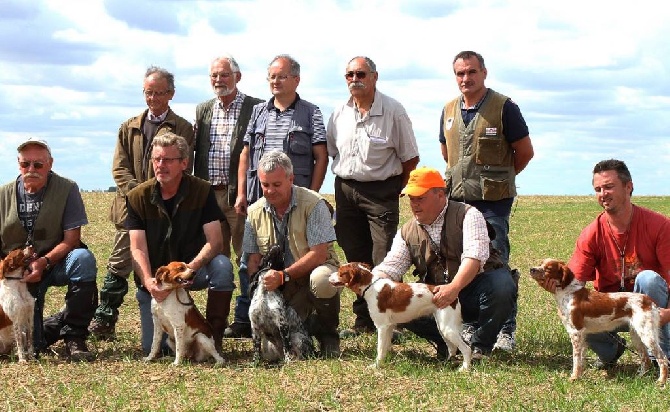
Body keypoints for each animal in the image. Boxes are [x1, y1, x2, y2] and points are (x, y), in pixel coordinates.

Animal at [332, 262, 472, 368]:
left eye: (340, 273)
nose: (330, 275)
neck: (371, 286)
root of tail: (454, 297)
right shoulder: (389, 326)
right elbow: (385, 347)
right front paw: (384, 362)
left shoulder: (381, 326)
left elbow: (380, 348)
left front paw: (376, 366)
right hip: (442, 327)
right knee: (452, 348)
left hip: (447, 328)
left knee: (466, 348)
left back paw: (464, 368)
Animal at [532, 260, 668, 384]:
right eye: (540, 264)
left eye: (548, 268)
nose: (531, 269)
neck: (568, 293)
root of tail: (649, 301)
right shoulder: (582, 335)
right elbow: (581, 359)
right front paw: (579, 376)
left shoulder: (576, 332)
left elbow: (576, 359)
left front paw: (574, 377)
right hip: (636, 335)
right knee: (646, 359)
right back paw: (640, 377)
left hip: (647, 334)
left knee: (663, 358)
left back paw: (661, 381)